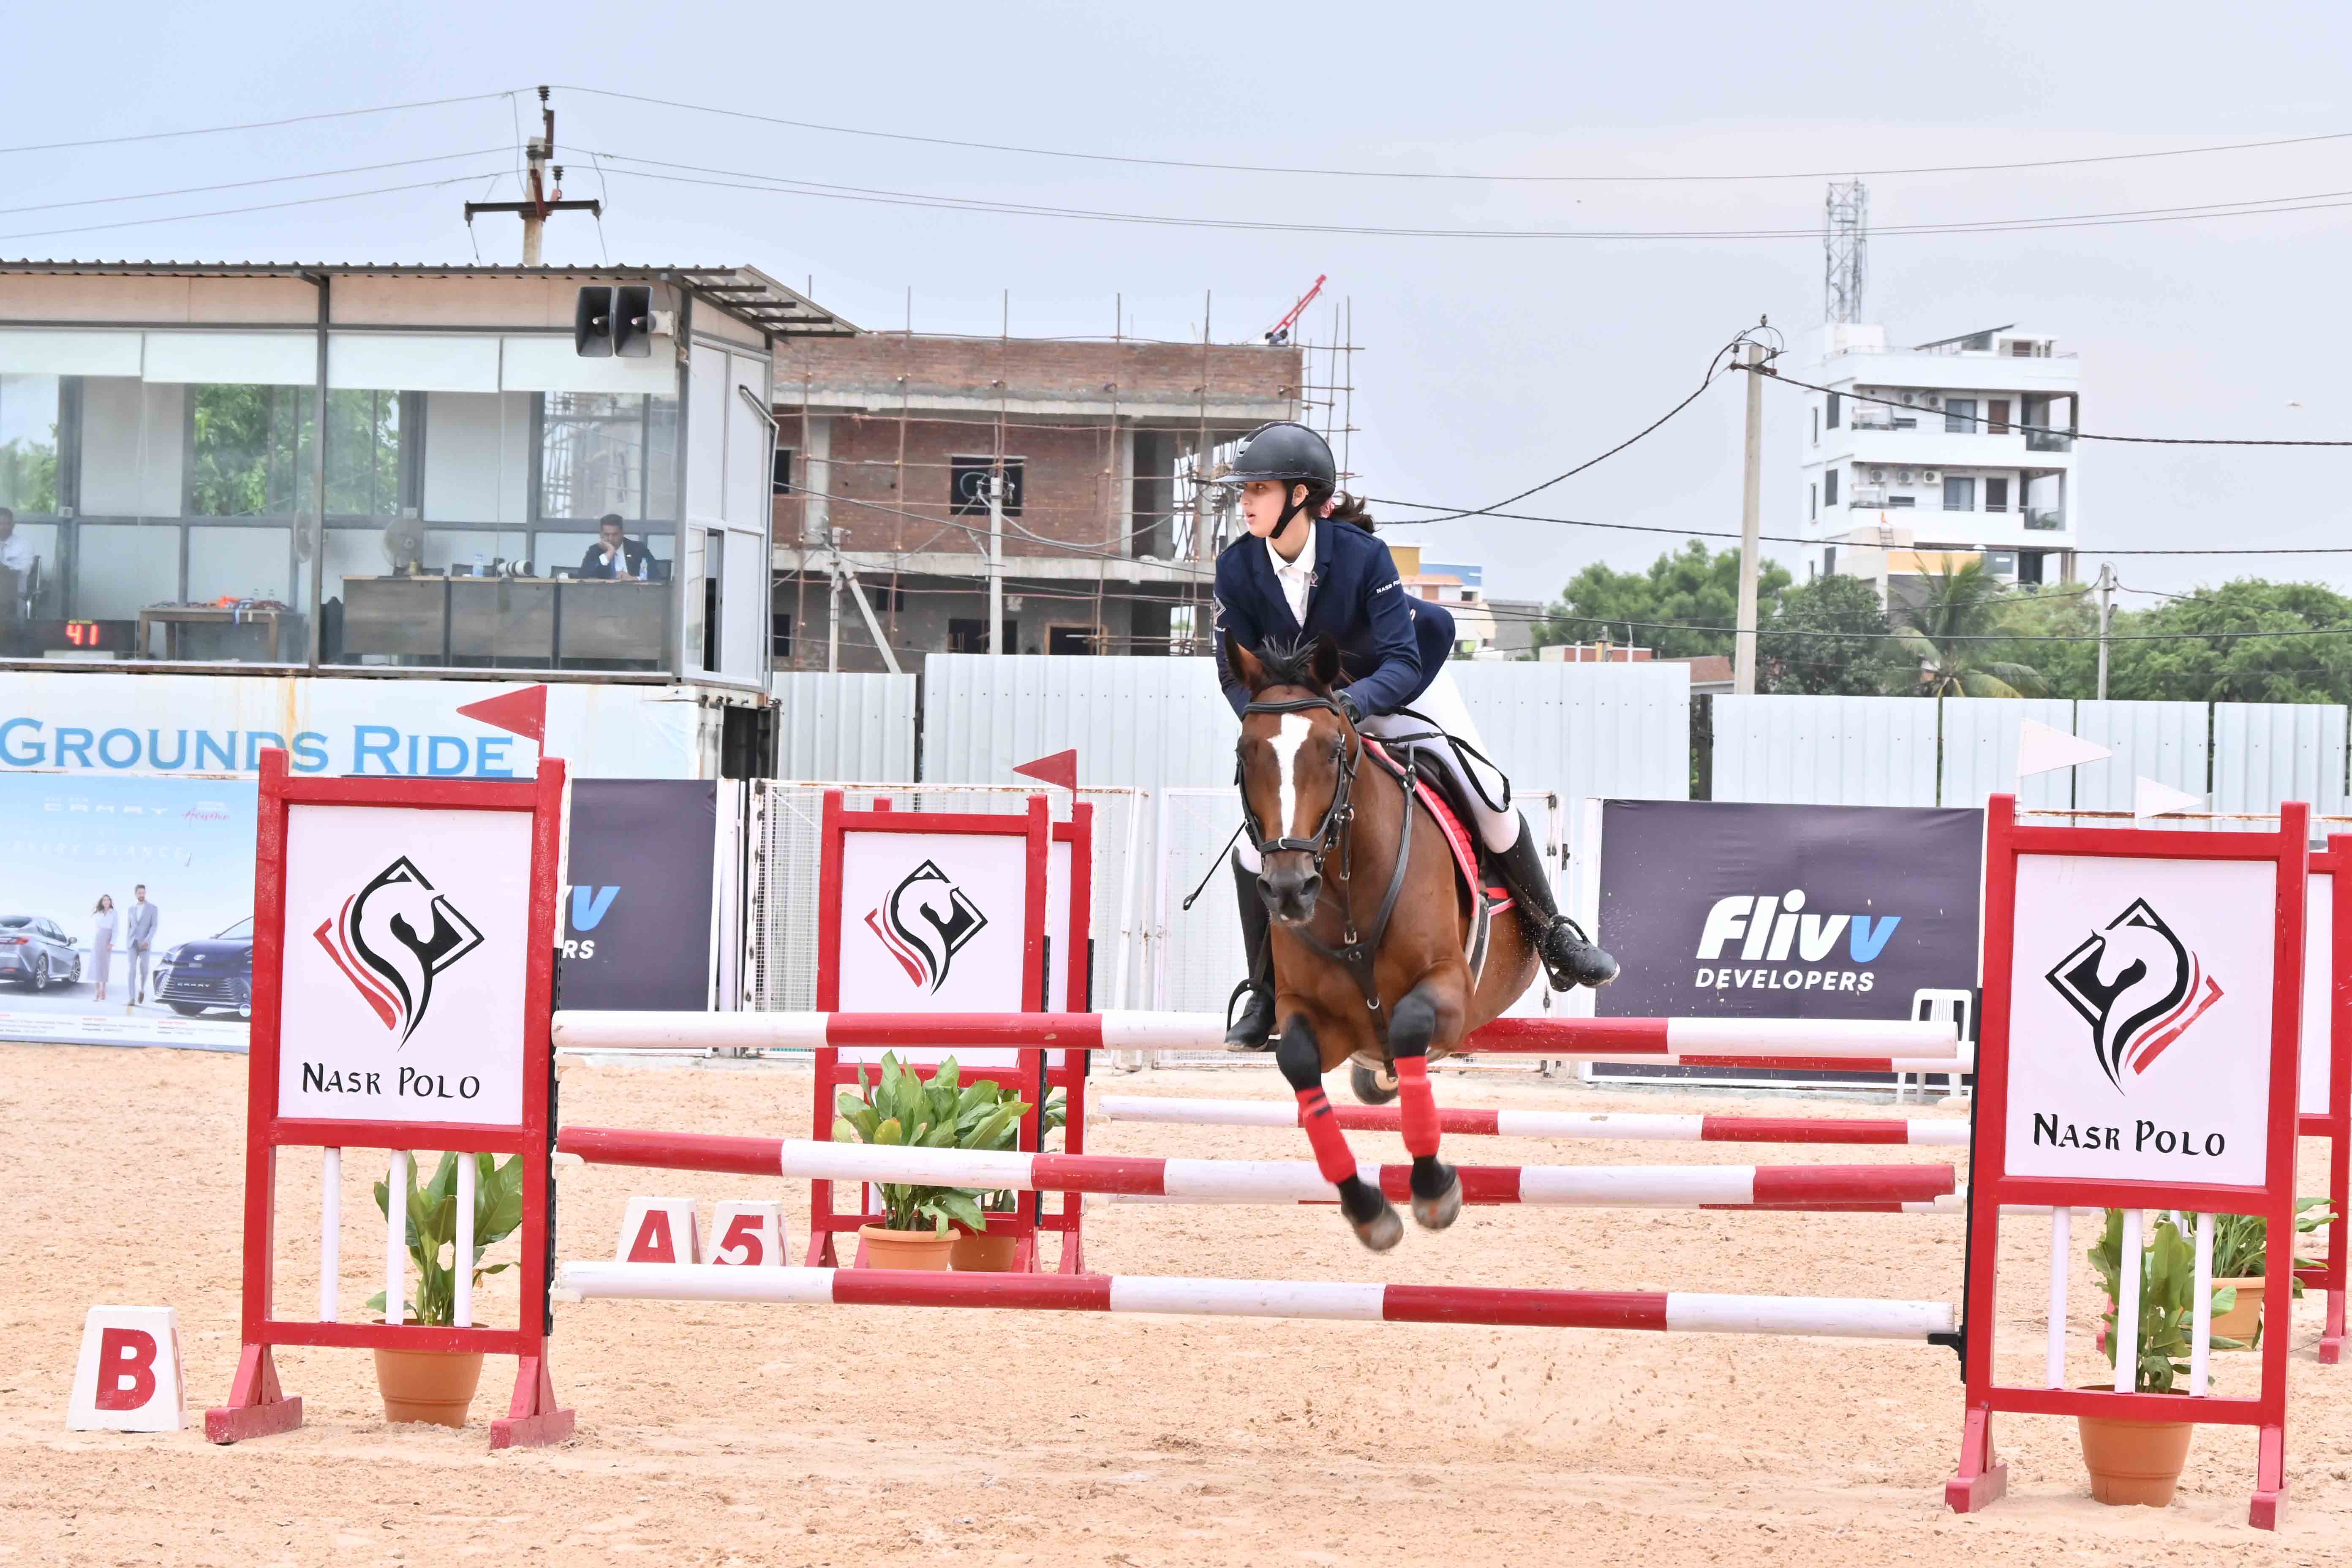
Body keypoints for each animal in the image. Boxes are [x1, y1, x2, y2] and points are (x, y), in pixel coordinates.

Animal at [1227, 632, 1542, 1250]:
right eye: (1245, 753)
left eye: (1331, 750)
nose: (1290, 890)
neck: (1347, 888)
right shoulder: (1315, 1014)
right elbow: (1298, 1062)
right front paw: (1368, 1208)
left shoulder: (1451, 991)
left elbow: (1410, 1026)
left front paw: (1433, 1187)